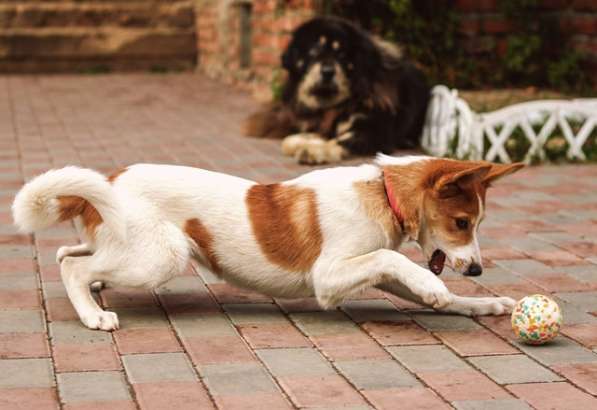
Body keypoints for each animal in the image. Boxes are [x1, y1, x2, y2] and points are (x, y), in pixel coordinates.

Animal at [9, 155, 520, 332]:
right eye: (461, 222)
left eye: (477, 222)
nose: (477, 269)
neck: (383, 193)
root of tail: (107, 182)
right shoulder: (329, 276)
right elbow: (394, 258)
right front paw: (437, 289)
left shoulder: (364, 270)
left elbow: (411, 275)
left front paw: (481, 304)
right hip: (161, 256)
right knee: (73, 266)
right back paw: (93, 315)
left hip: (132, 249)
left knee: (68, 254)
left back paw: (94, 295)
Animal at [242, 16, 428, 163]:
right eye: (314, 51)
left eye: (342, 55)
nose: (327, 72)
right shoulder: (324, 125)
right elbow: (292, 140)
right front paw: (300, 141)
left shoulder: (374, 130)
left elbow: (341, 140)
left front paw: (315, 150)